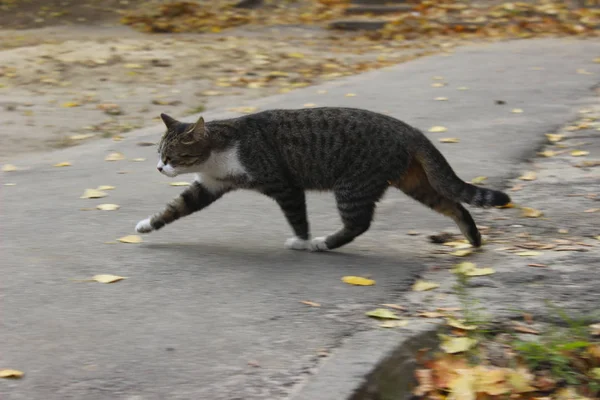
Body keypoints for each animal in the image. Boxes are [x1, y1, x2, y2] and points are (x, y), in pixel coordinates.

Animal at [136, 108, 510, 252]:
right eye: (158, 154)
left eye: (171, 157)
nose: (158, 169)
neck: (218, 155)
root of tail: (408, 129)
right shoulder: (211, 185)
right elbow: (175, 207)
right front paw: (146, 225)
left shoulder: (284, 186)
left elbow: (297, 218)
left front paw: (302, 241)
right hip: (414, 182)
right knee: (453, 204)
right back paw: (473, 237)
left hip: (353, 185)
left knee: (358, 224)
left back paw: (322, 244)